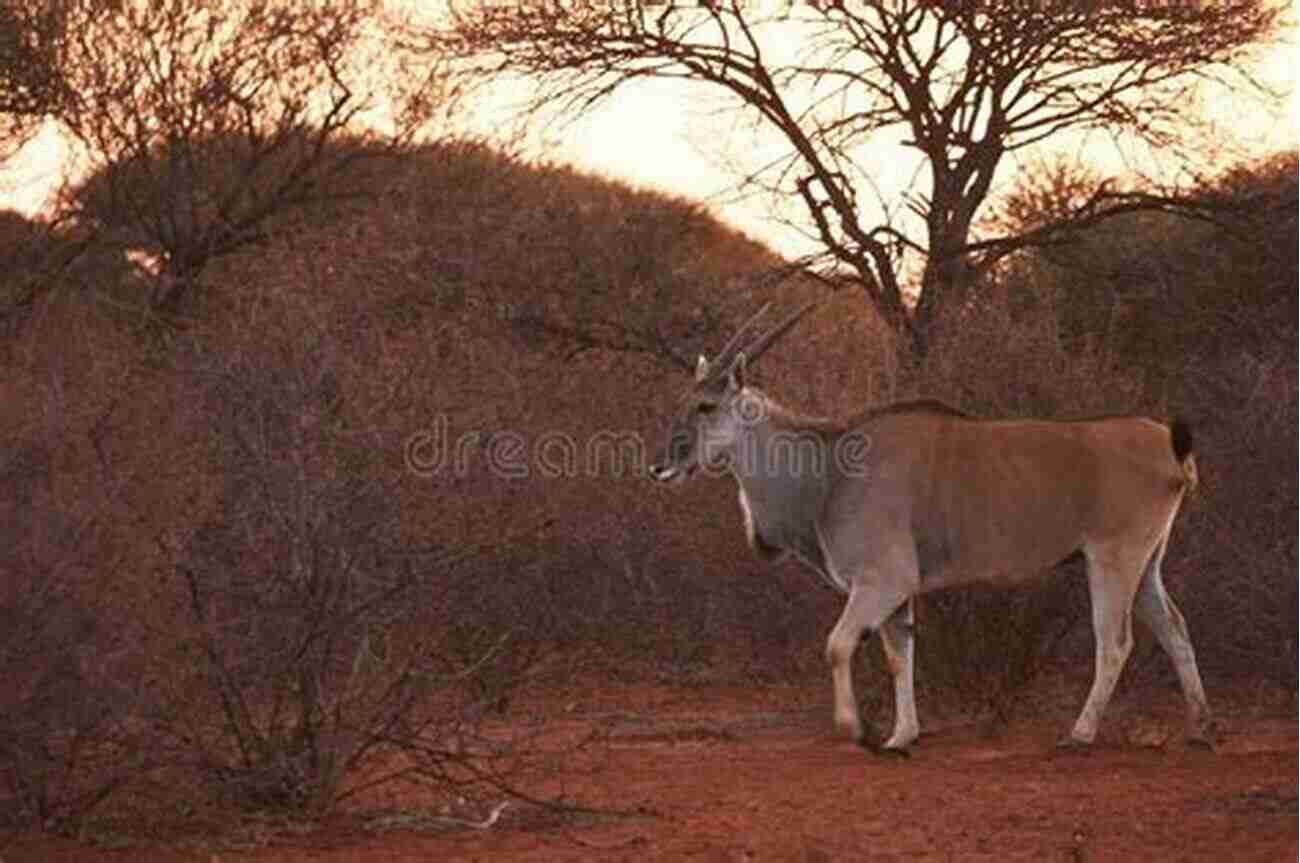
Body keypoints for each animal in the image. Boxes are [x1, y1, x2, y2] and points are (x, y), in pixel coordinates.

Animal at [655, 306, 1211, 753]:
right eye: (682, 402)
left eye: (706, 406)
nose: (662, 465)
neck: (831, 470)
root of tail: (1169, 445)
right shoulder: (896, 594)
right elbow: (899, 656)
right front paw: (902, 737)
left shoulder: (882, 581)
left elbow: (838, 645)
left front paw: (855, 729)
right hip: (1146, 565)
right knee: (1175, 627)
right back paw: (1199, 729)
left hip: (1112, 559)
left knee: (1114, 642)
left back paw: (1079, 734)